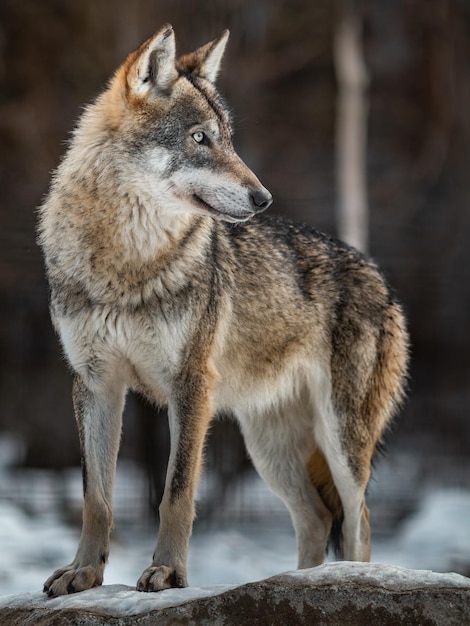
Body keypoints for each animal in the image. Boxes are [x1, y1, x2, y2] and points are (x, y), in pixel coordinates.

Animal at [39, 25, 408, 596]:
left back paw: (348, 579)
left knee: (358, 519)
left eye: (228, 138)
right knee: (317, 518)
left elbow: (176, 492)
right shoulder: (95, 385)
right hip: (268, 448)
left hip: (341, 441)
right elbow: (96, 498)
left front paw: (169, 573)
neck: (126, 261)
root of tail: (380, 277)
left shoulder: (190, 384)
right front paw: (83, 573)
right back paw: (299, 584)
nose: (263, 198)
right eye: (200, 138)